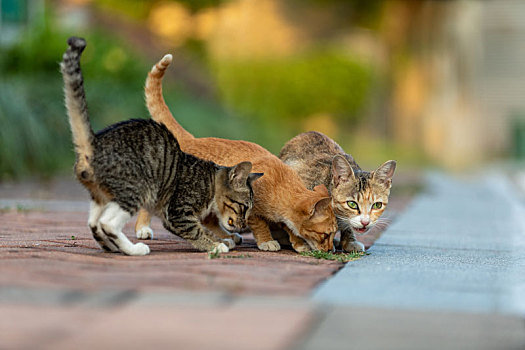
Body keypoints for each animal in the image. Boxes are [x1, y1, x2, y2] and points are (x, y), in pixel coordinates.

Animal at [59, 37, 260, 256]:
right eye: (244, 207)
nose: (243, 225)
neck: (209, 180)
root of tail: (94, 143)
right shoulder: (177, 212)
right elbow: (197, 231)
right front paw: (217, 245)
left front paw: (223, 239)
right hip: (137, 189)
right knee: (108, 224)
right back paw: (134, 249)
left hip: (102, 196)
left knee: (94, 224)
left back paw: (112, 247)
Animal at [135, 54, 338, 252]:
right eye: (326, 235)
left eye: (333, 234)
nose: (331, 250)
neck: (281, 183)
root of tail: (192, 139)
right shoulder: (250, 209)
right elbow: (260, 225)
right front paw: (267, 241)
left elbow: (289, 227)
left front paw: (299, 243)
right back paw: (143, 228)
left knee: (210, 220)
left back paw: (228, 237)